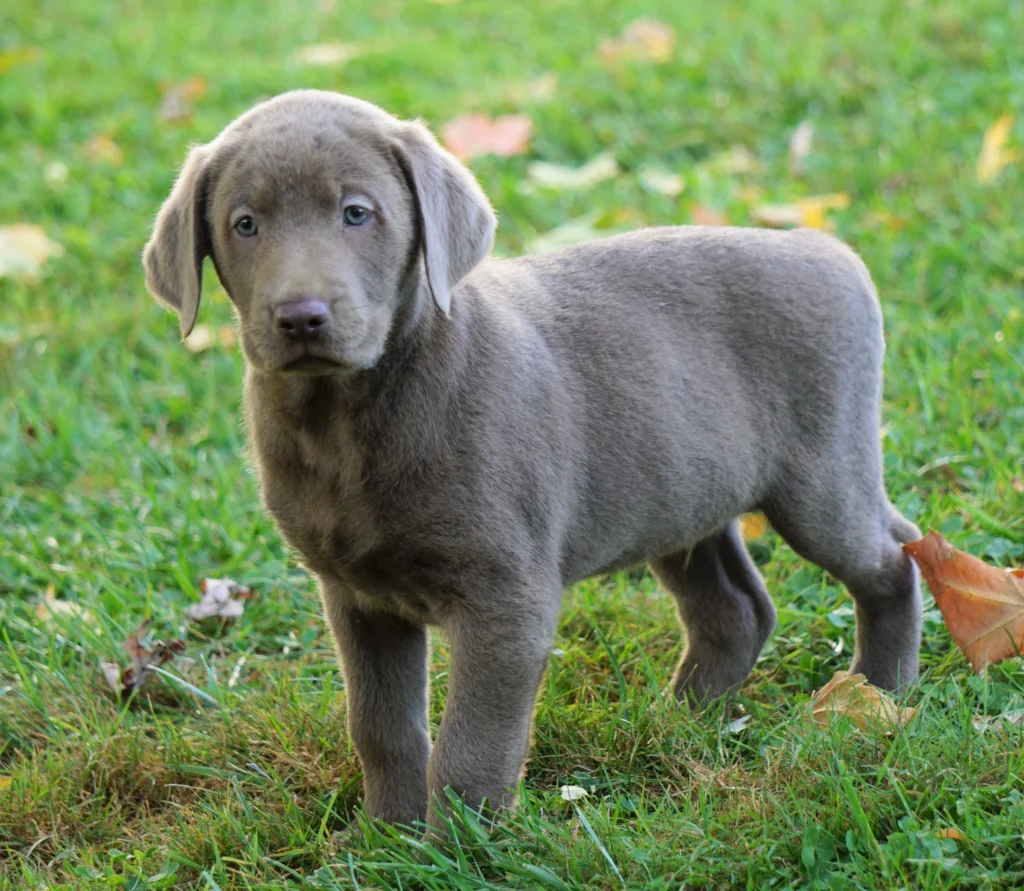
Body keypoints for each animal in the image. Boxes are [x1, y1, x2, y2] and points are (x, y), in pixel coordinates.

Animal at [142, 89, 921, 831]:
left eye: (356, 214)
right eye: (245, 224)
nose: (301, 317)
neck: (348, 417)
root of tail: (824, 246)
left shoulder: (505, 598)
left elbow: (471, 747)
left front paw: (462, 849)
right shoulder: (356, 597)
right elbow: (381, 726)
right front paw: (387, 839)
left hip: (820, 477)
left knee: (893, 558)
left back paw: (878, 696)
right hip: (680, 494)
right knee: (736, 609)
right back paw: (679, 720)